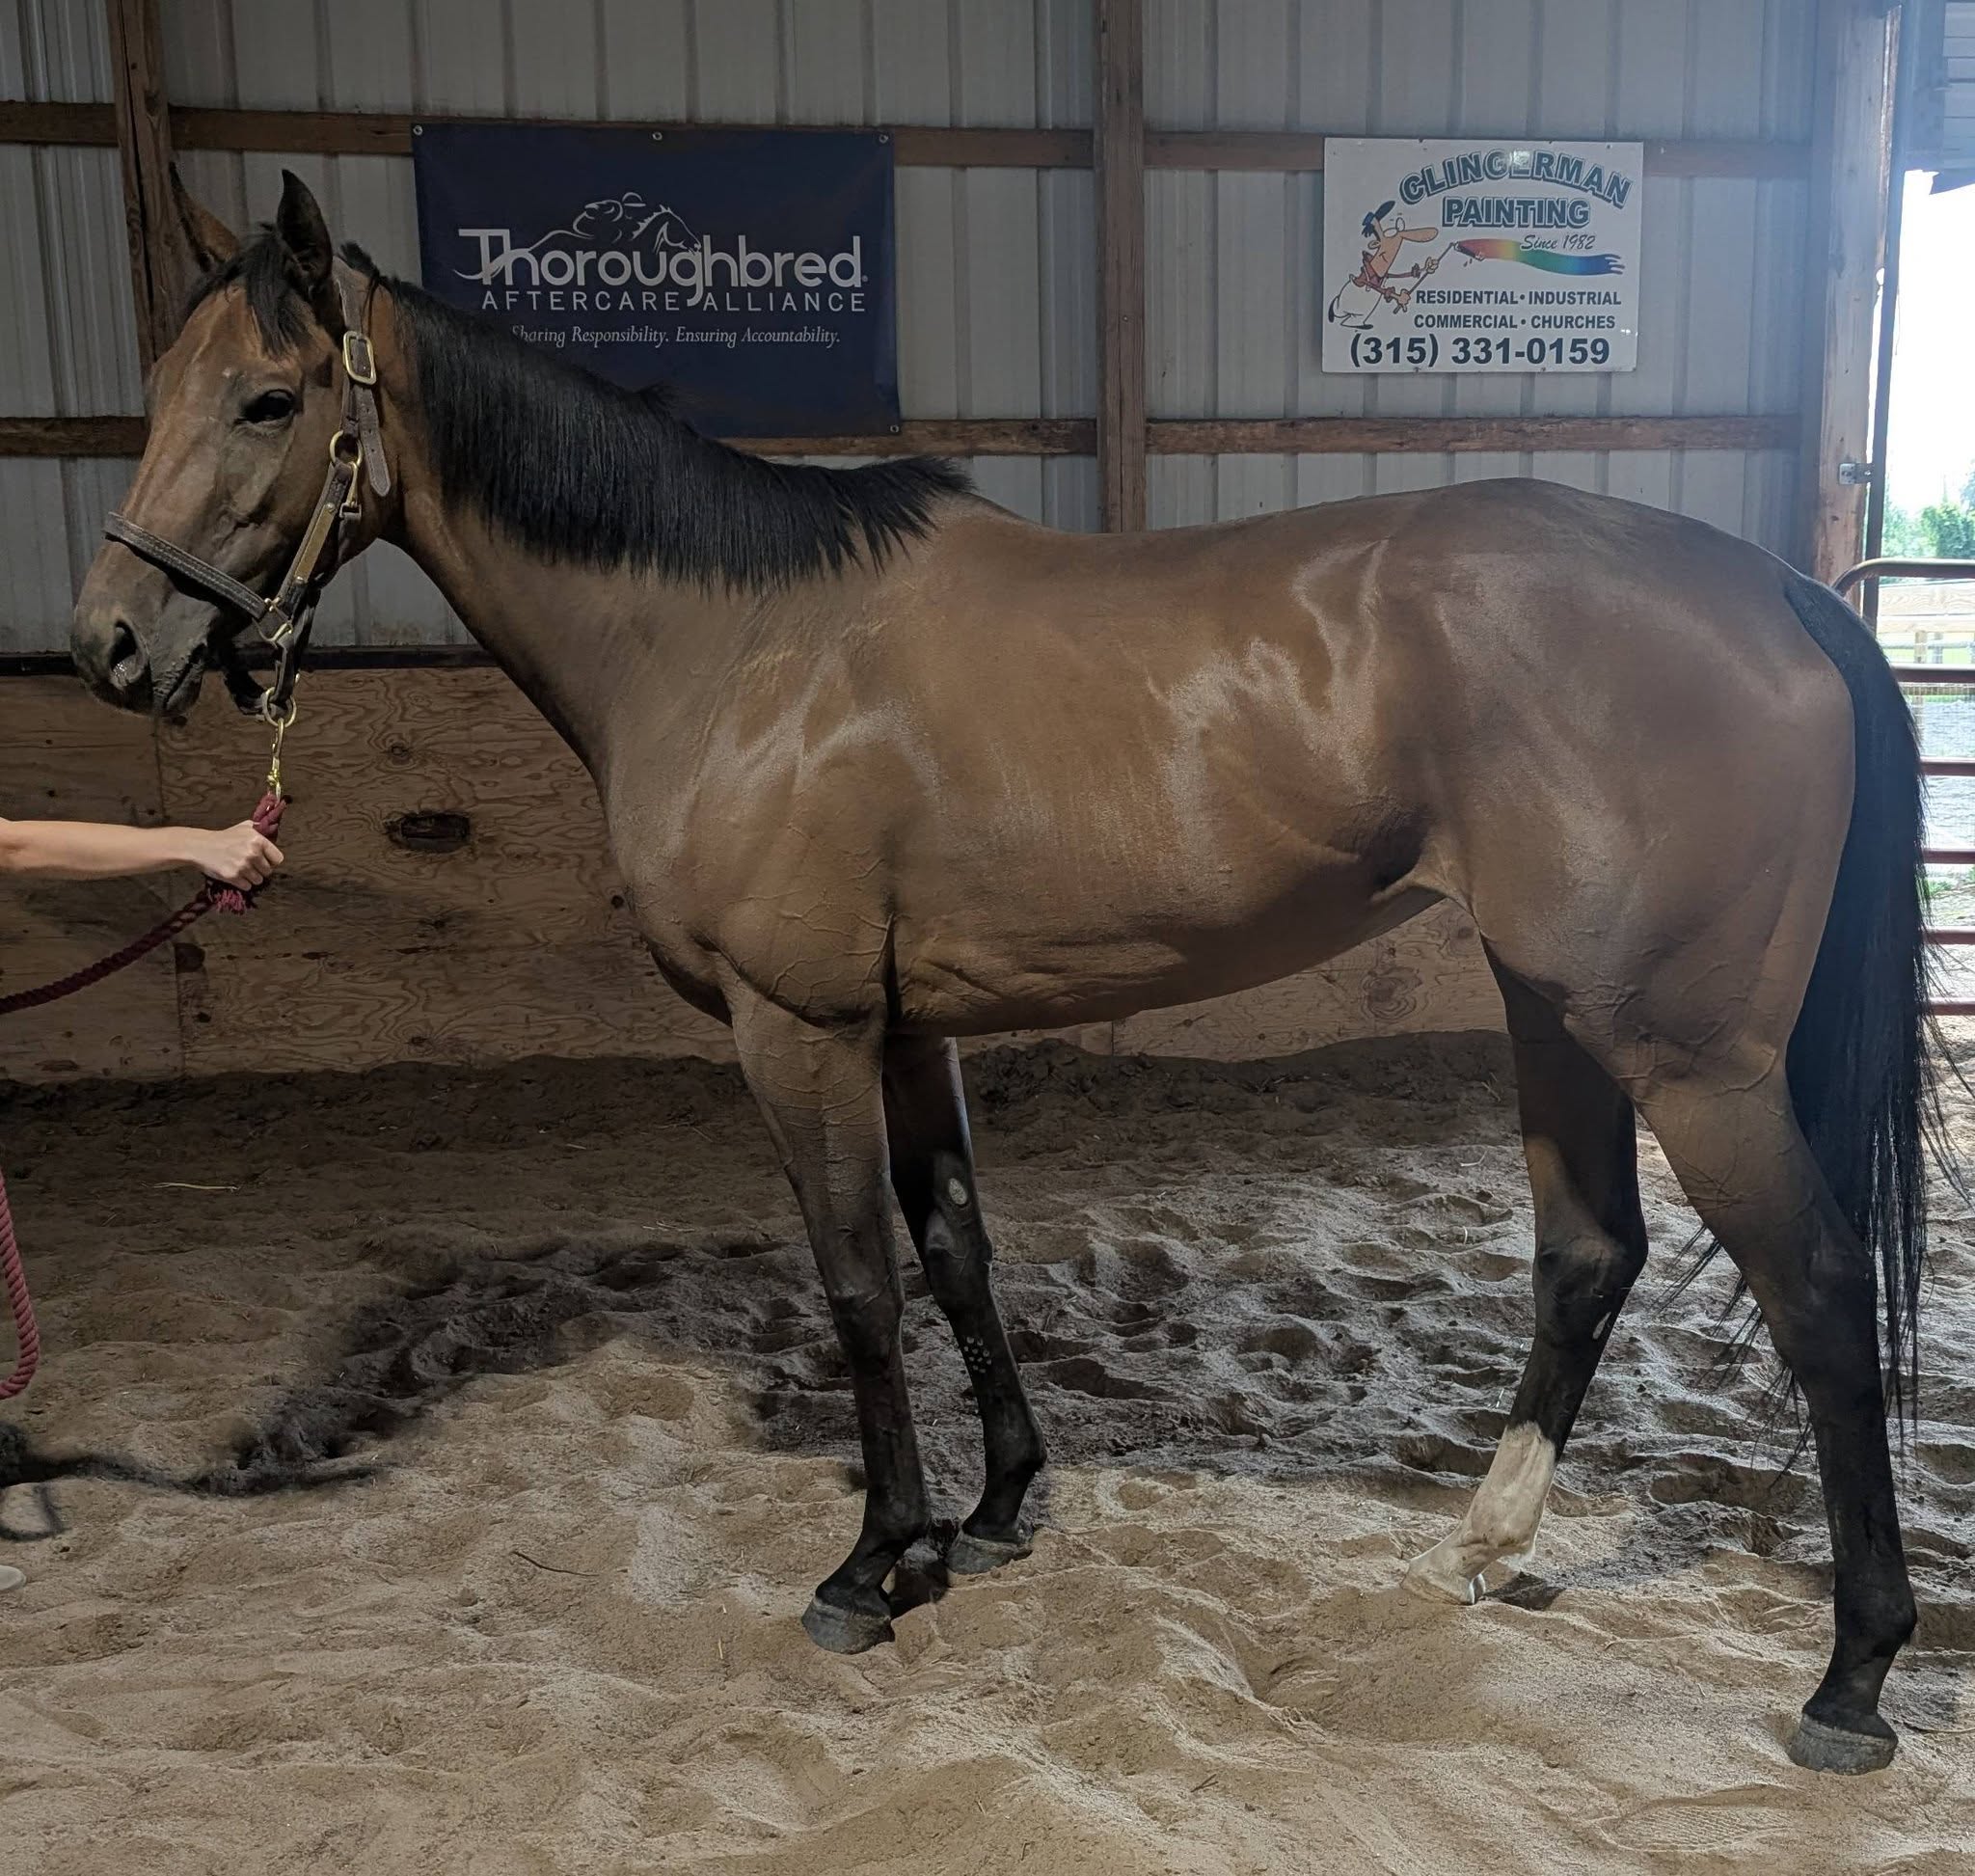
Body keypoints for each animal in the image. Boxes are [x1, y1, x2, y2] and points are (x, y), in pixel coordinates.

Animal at [71, 173, 1940, 1776]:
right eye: (159, 391)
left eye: (266, 402)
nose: (112, 646)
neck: (733, 645)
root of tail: (1780, 592)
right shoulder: (909, 1034)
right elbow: (956, 1250)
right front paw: (992, 1512)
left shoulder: (799, 1032)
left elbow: (854, 1285)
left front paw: (872, 1562)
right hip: (1550, 1008)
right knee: (1586, 1254)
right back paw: (1489, 1545)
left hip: (1686, 1054)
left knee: (1817, 1293)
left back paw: (1849, 1678)